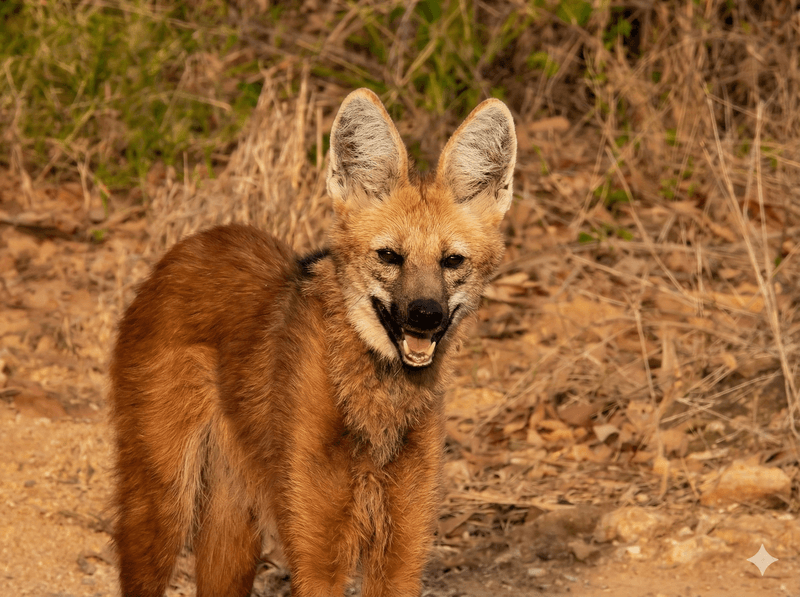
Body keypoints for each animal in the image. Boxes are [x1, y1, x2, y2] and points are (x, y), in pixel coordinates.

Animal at [110, 88, 516, 597]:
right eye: (389, 256)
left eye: (452, 261)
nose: (425, 314)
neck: (377, 409)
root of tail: (191, 243)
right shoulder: (318, 554)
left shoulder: (401, 550)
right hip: (164, 503)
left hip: (235, 522)